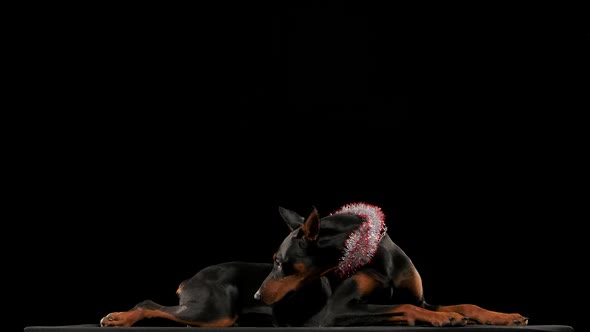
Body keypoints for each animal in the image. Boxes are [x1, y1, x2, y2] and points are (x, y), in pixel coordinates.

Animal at [254, 202, 532, 326]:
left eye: (279, 261)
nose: (256, 296)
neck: (374, 257)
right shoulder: (336, 311)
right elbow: (404, 306)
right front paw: (446, 317)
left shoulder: (421, 299)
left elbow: (467, 304)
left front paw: (504, 316)